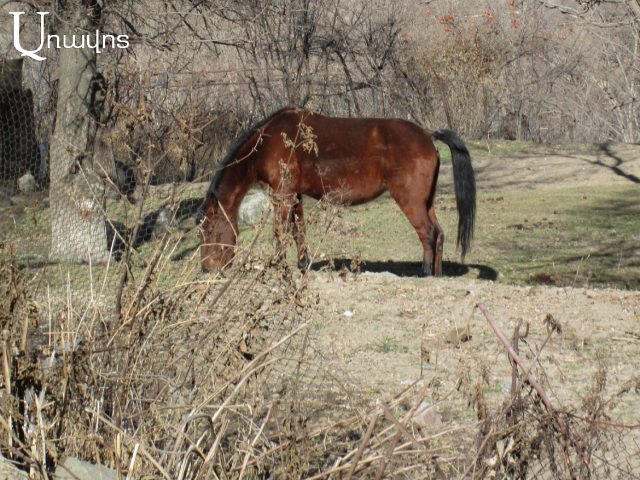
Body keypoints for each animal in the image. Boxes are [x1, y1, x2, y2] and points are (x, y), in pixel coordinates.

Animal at [200, 107, 476, 276]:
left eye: (210, 229)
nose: (207, 268)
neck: (268, 142)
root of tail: (428, 135)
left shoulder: (282, 196)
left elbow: (280, 233)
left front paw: (277, 265)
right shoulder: (294, 196)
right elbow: (298, 231)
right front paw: (302, 264)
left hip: (411, 201)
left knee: (428, 234)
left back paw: (425, 273)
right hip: (426, 201)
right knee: (438, 234)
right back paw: (437, 274)